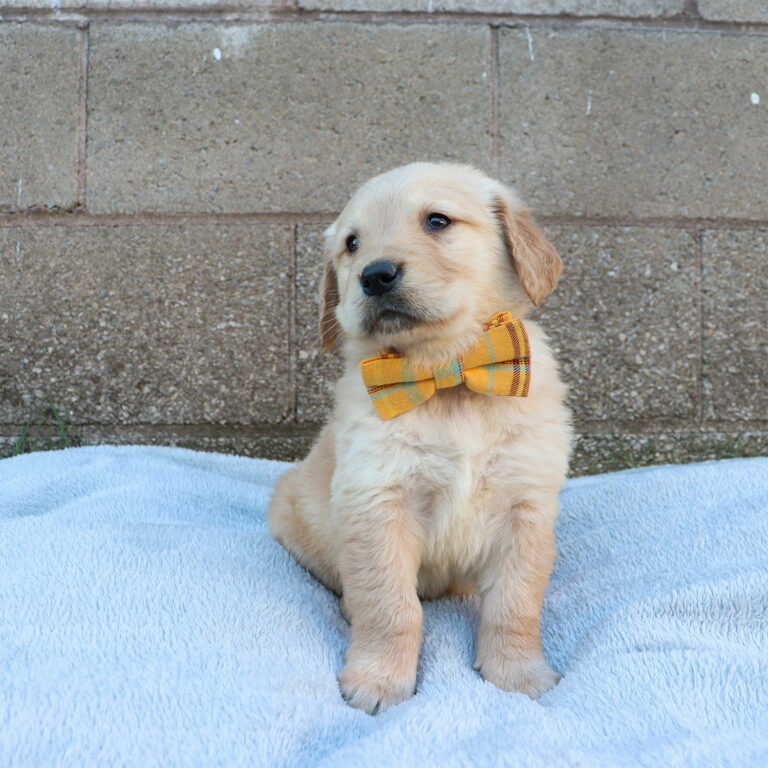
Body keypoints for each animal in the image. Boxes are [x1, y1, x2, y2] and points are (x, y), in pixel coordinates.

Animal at [268, 160, 572, 712]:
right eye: (351, 244)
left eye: (437, 221)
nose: (375, 275)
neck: (447, 377)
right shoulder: (377, 501)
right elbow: (390, 604)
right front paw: (378, 681)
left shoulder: (527, 505)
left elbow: (516, 602)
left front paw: (517, 674)